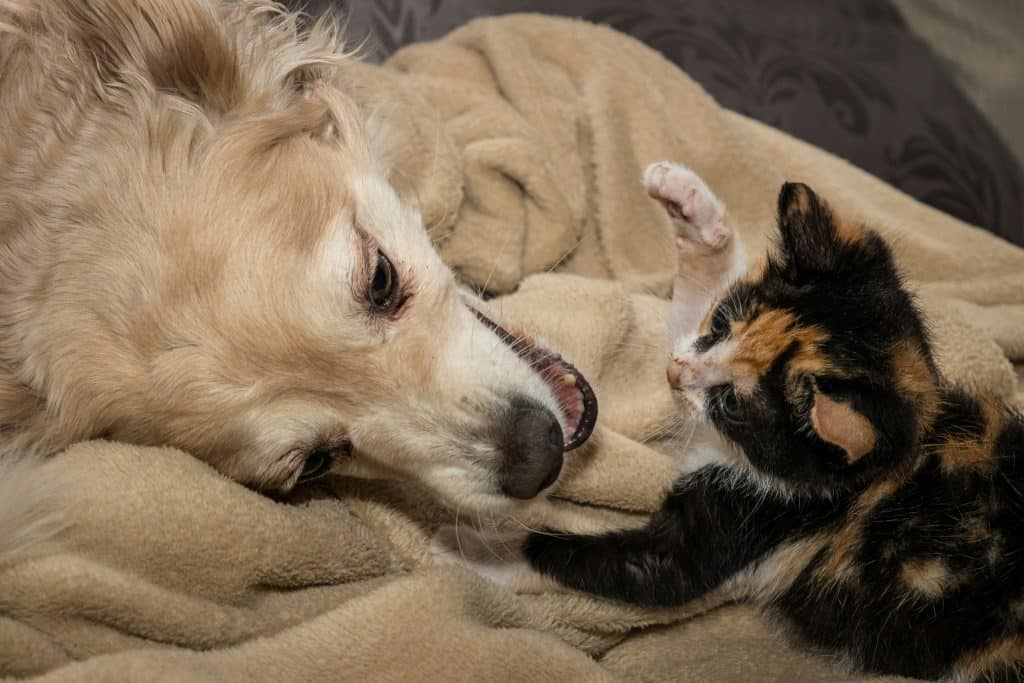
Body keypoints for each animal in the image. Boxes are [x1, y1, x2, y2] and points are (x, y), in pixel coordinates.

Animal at [520, 161, 1024, 683]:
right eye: (720, 324)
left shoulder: (754, 518)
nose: (675, 375)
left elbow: (647, 571)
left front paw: (502, 548)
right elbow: (686, 318)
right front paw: (691, 206)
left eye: (732, 404)